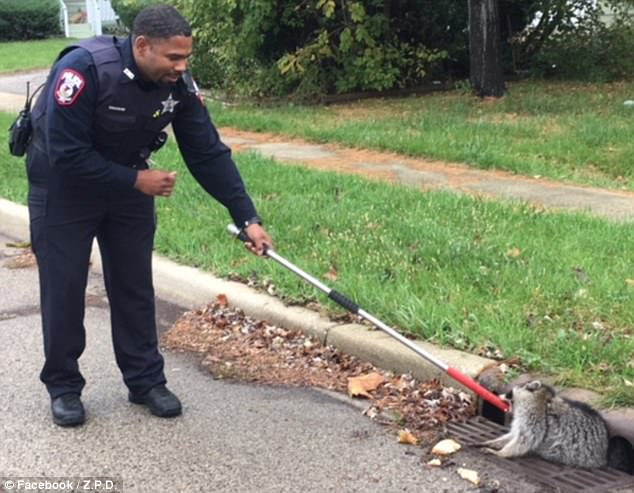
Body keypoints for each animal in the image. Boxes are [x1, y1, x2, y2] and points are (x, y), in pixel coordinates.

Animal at [478, 378, 608, 468]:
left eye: (509, 393)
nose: (498, 395)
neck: (541, 398)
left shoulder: (535, 417)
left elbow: (525, 440)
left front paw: (501, 453)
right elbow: (514, 435)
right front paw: (495, 442)